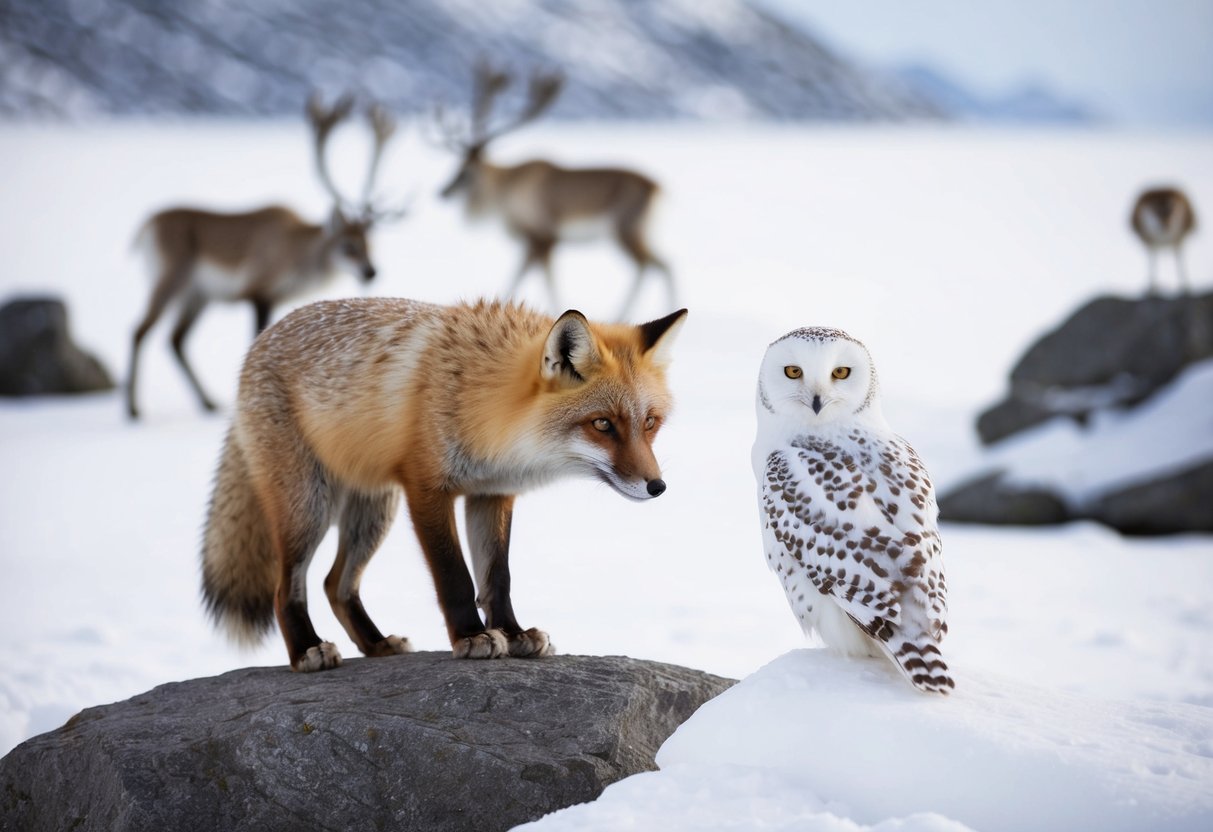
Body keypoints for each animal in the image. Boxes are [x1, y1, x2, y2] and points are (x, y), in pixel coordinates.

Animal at [201, 296, 688, 671]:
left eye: (649, 423)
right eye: (602, 424)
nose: (657, 486)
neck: (483, 402)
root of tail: (259, 341)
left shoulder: (491, 494)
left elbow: (496, 576)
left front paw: (512, 632)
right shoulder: (426, 488)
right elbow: (454, 575)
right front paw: (472, 637)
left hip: (372, 512)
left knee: (335, 584)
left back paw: (376, 644)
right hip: (310, 508)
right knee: (288, 587)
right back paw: (307, 651)